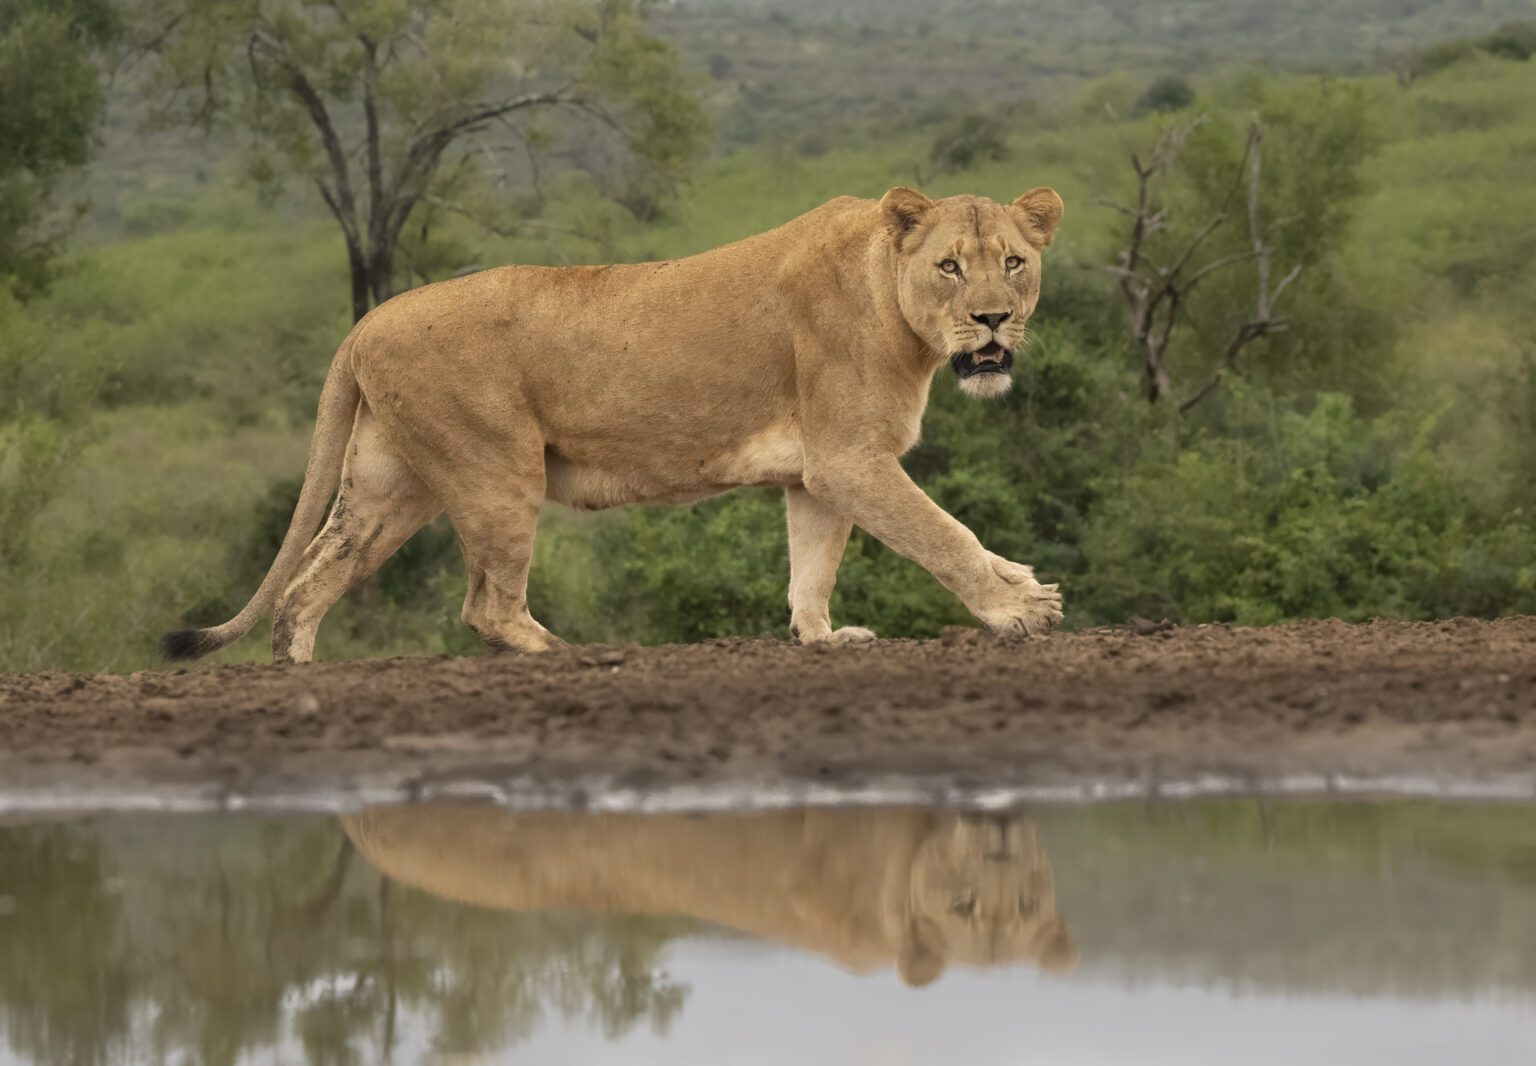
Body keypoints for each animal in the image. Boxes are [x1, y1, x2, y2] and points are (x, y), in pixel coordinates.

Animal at [161, 186, 1065, 663]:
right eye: (949, 266)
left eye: (1012, 263)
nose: (992, 319)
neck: (896, 307)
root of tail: (366, 323)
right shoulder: (850, 458)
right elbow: (943, 533)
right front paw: (1018, 608)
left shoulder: (819, 472)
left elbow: (812, 567)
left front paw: (823, 637)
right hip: (498, 471)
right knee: (484, 606)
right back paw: (567, 654)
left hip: (392, 487)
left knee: (307, 584)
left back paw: (299, 672)